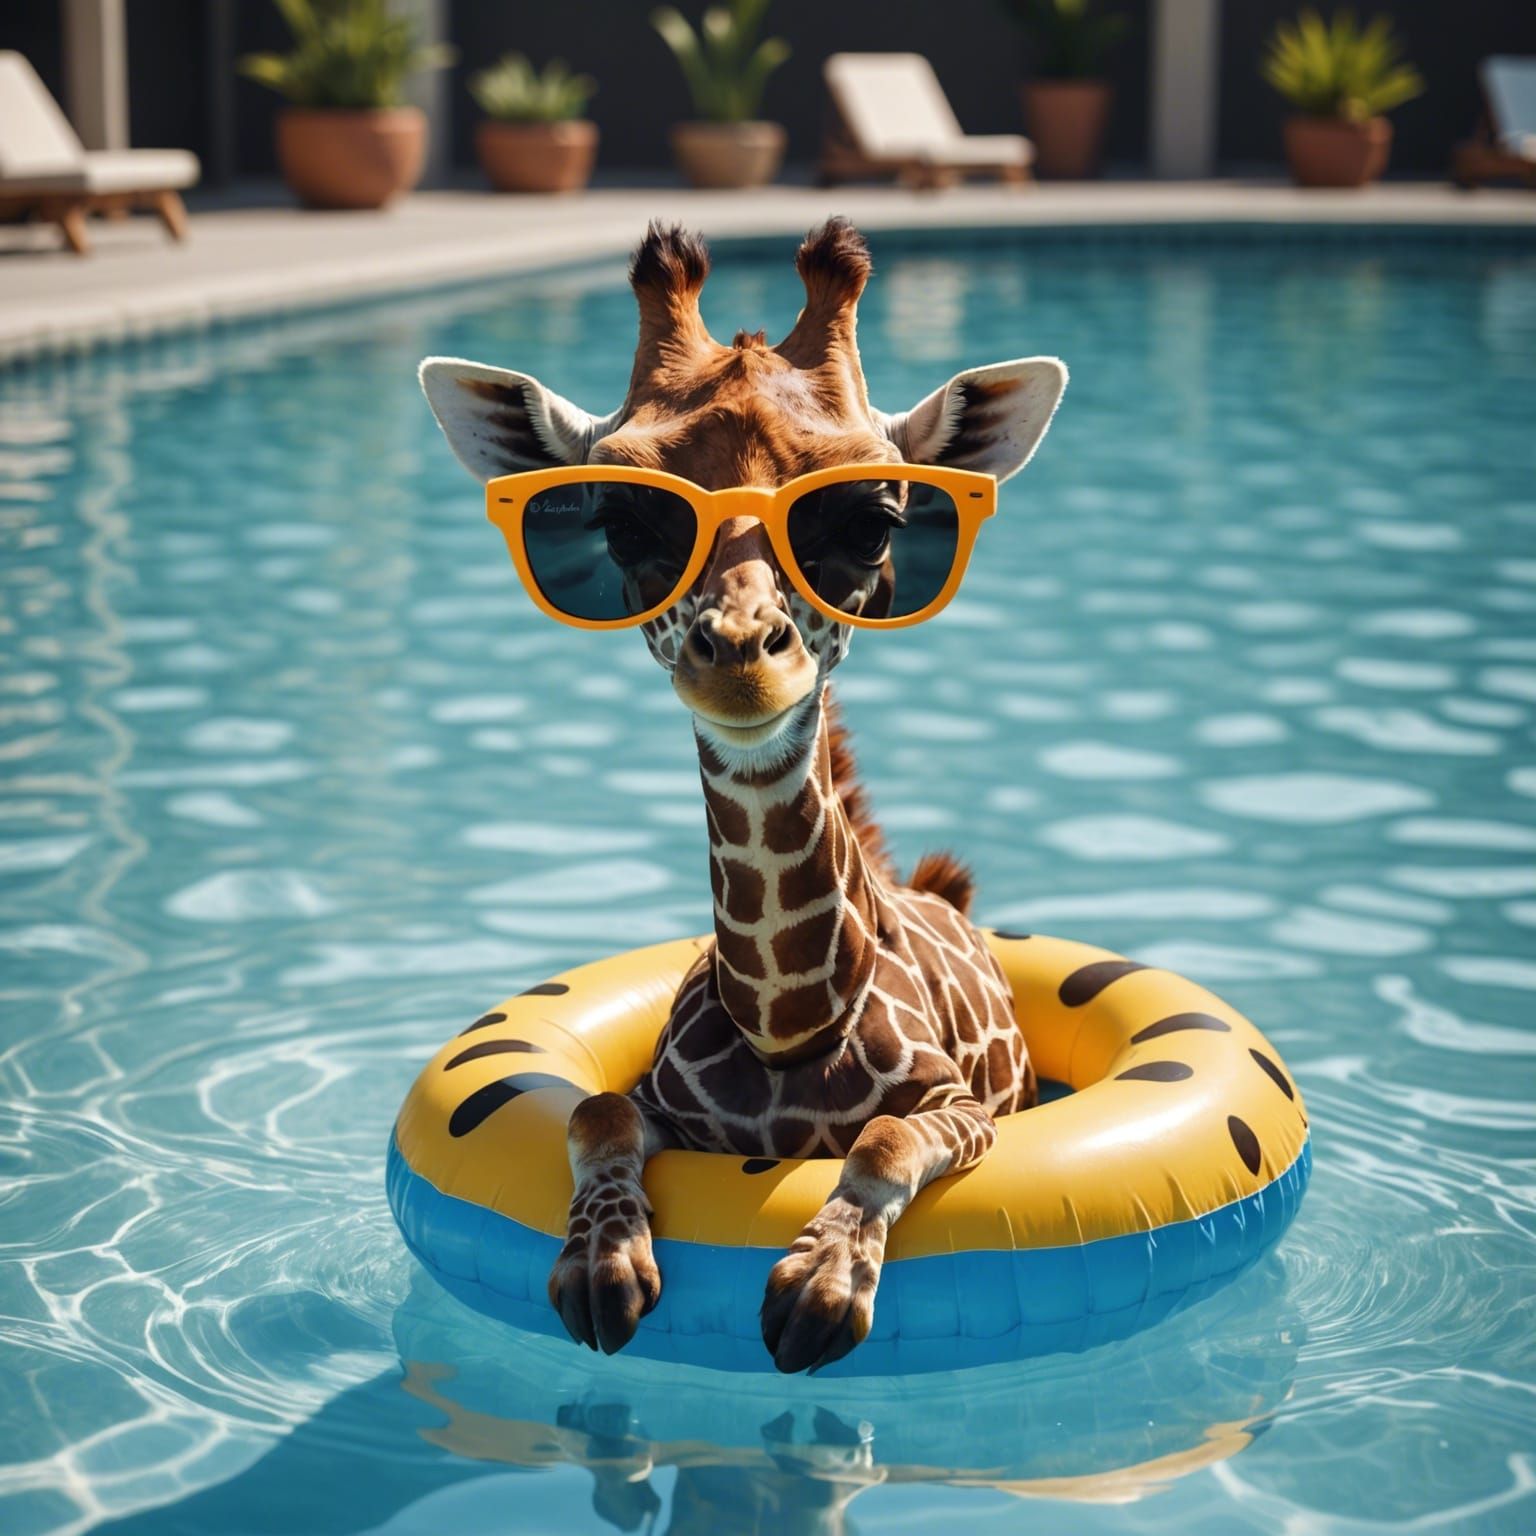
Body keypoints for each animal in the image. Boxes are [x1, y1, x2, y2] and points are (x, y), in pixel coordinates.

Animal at [420, 218, 1068, 1372]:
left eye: (871, 522)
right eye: (627, 522)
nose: (740, 662)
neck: (790, 1021)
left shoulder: (963, 1106)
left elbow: (886, 1136)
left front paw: (821, 1284)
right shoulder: (647, 1103)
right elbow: (593, 1115)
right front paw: (602, 1266)